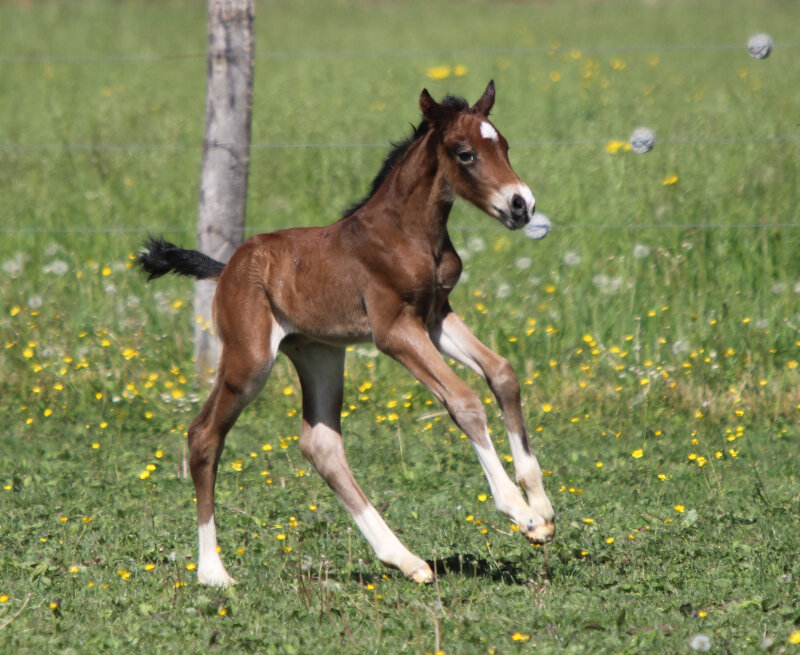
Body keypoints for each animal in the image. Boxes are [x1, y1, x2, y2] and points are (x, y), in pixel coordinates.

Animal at [137, 81, 555, 587]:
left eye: (505, 146)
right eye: (465, 153)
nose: (521, 205)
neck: (407, 233)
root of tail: (228, 266)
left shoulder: (436, 316)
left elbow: (503, 373)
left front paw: (542, 508)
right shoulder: (394, 329)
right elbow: (464, 400)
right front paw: (520, 512)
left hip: (319, 354)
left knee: (321, 445)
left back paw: (406, 559)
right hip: (248, 359)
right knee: (203, 435)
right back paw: (213, 571)